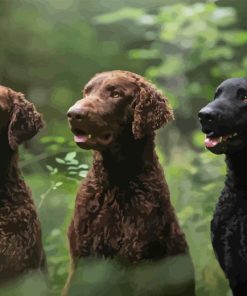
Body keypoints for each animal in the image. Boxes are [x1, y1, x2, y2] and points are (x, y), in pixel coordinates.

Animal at [63, 70, 195, 294]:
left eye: (115, 94)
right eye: (87, 91)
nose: (73, 114)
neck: (116, 181)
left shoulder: (137, 259)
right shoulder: (81, 259)